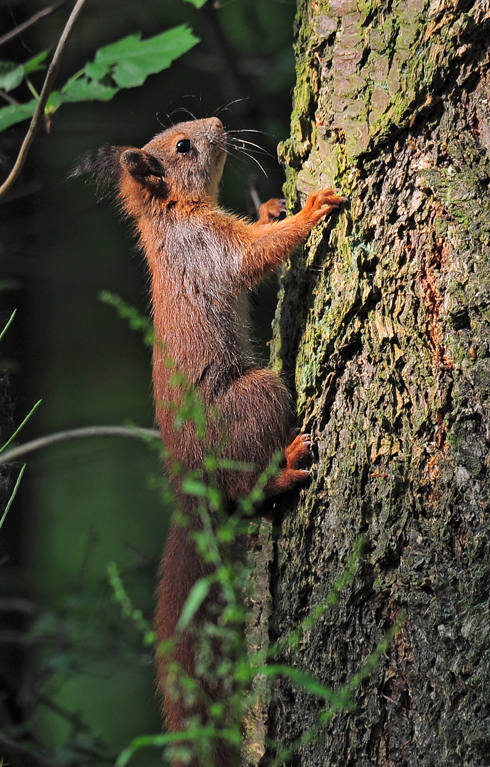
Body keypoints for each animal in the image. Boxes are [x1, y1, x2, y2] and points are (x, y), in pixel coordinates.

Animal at [73, 116, 345, 767]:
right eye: (182, 146)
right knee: (246, 488)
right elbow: (257, 256)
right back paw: (286, 464)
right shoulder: (209, 250)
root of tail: (187, 479)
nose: (219, 123)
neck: (174, 215)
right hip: (256, 397)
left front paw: (273, 206)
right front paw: (308, 212)